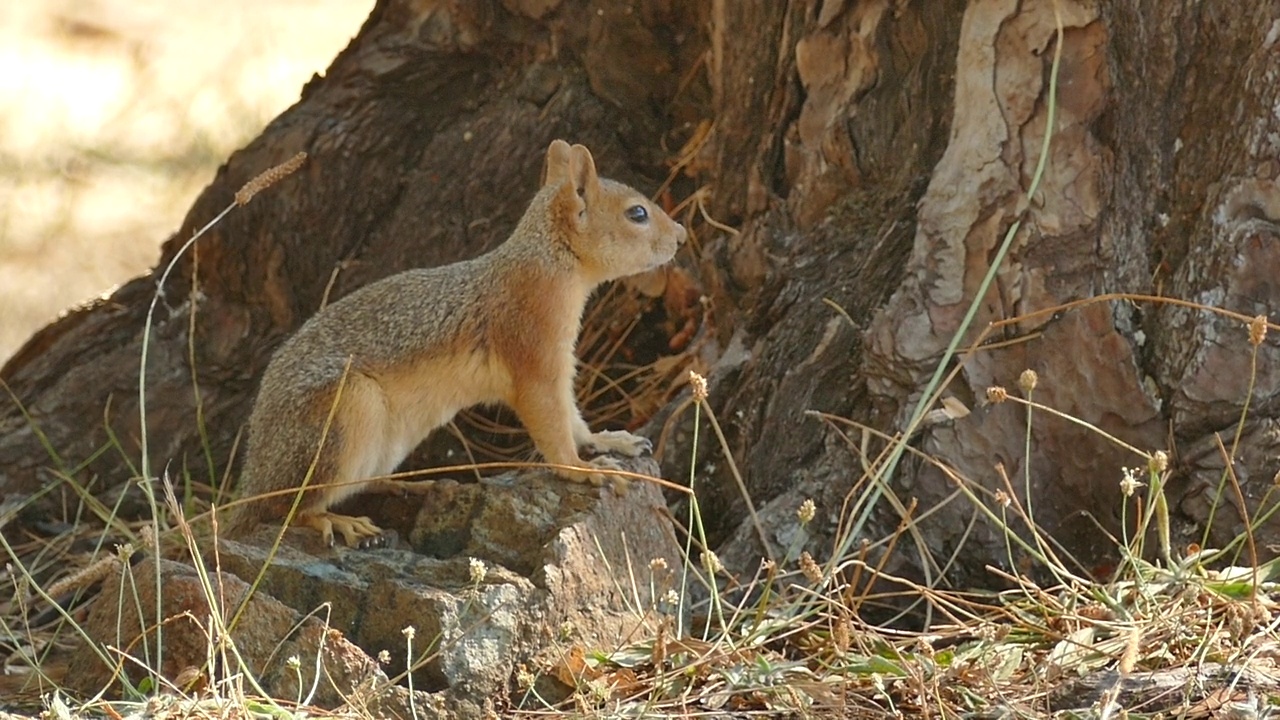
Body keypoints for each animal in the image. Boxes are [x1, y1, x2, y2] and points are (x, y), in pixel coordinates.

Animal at [227, 139, 691, 543]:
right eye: (637, 213)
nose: (683, 235)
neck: (550, 261)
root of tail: (256, 472)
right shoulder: (533, 349)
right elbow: (552, 423)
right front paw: (582, 469)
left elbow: (573, 418)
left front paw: (607, 440)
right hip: (345, 413)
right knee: (284, 509)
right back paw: (336, 520)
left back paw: (408, 486)